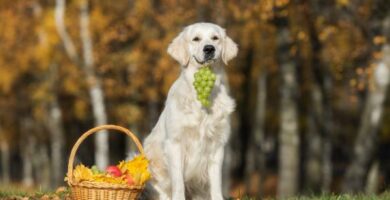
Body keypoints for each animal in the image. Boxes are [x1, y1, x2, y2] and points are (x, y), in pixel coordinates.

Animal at [144, 22, 238, 199]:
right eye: (196, 39)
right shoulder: (175, 143)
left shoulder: (217, 145)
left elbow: (216, 182)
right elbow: (178, 182)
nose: (209, 49)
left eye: (215, 38)